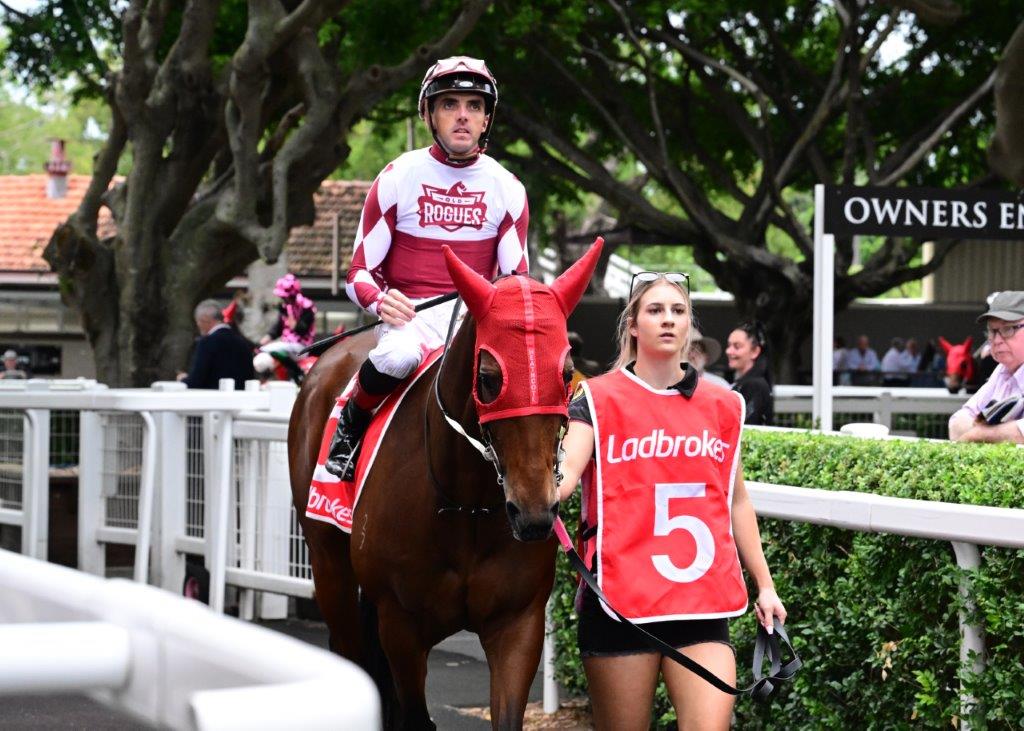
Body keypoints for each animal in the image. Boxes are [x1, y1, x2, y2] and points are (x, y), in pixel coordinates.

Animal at [288, 240, 602, 728]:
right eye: (488, 378)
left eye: (566, 373)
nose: (534, 514)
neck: (466, 505)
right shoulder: (401, 625)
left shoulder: (518, 623)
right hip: (328, 565)